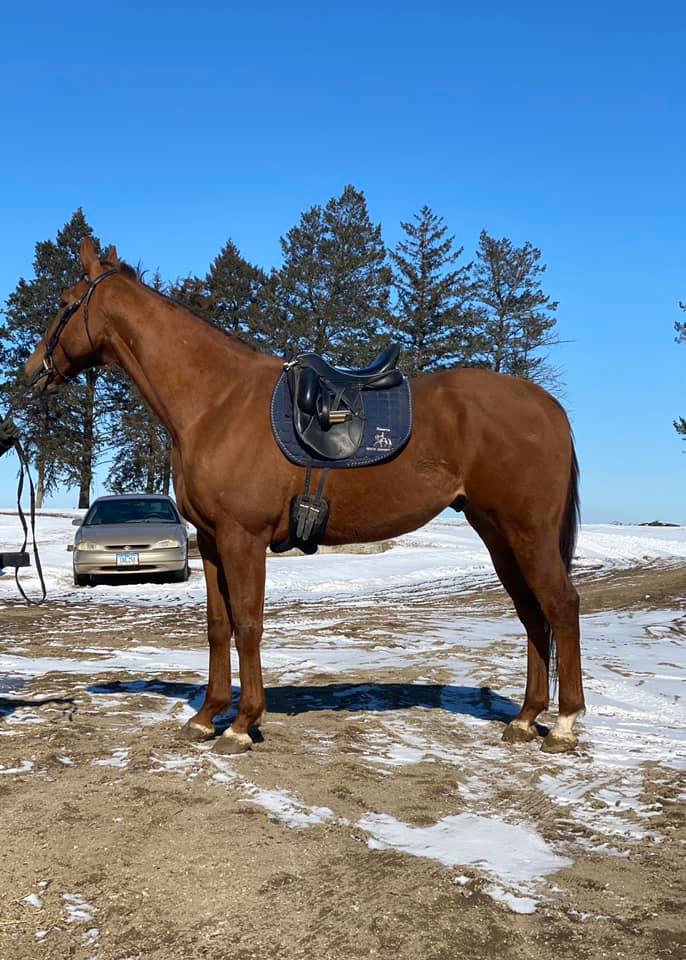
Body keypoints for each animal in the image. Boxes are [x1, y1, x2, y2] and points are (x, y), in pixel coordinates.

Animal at [26, 236, 584, 752]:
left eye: (65, 301)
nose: (33, 371)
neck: (216, 402)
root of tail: (548, 406)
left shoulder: (243, 538)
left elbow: (248, 623)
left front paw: (243, 725)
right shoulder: (210, 541)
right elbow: (218, 626)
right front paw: (206, 717)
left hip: (527, 533)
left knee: (560, 606)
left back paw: (564, 724)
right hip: (498, 534)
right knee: (532, 614)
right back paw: (525, 718)